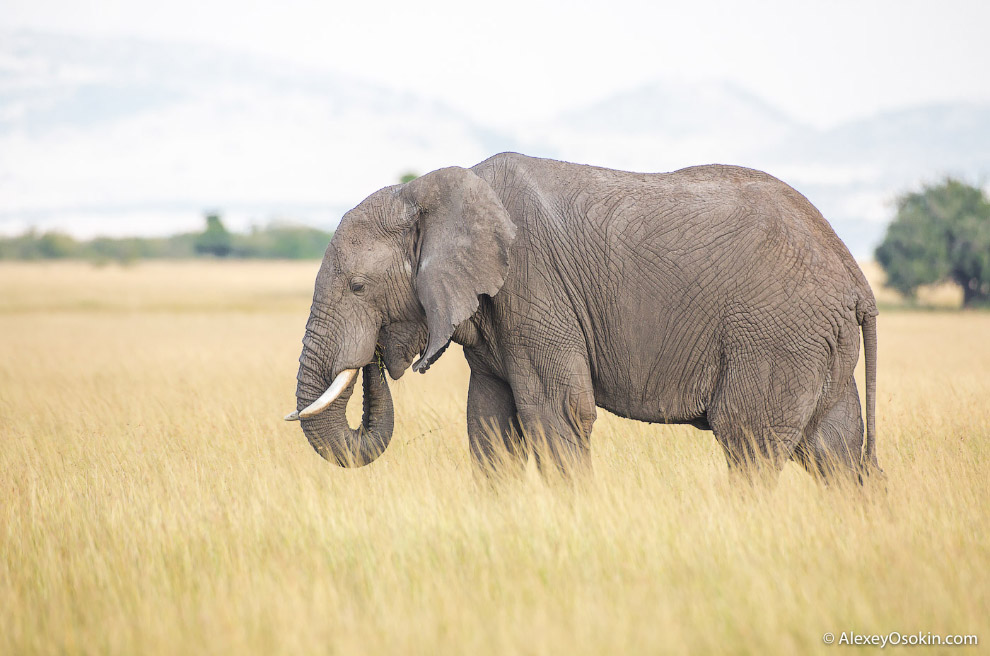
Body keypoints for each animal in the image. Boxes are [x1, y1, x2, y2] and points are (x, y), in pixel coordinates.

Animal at [286, 152, 884, 482]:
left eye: (358, 286)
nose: (375, 359)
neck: (434, 189)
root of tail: (857, 279)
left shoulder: (535, 288)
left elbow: (556, 414)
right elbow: (489, 423)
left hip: (777, 337)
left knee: (750, 443)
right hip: (814, 344)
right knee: (835, 452)